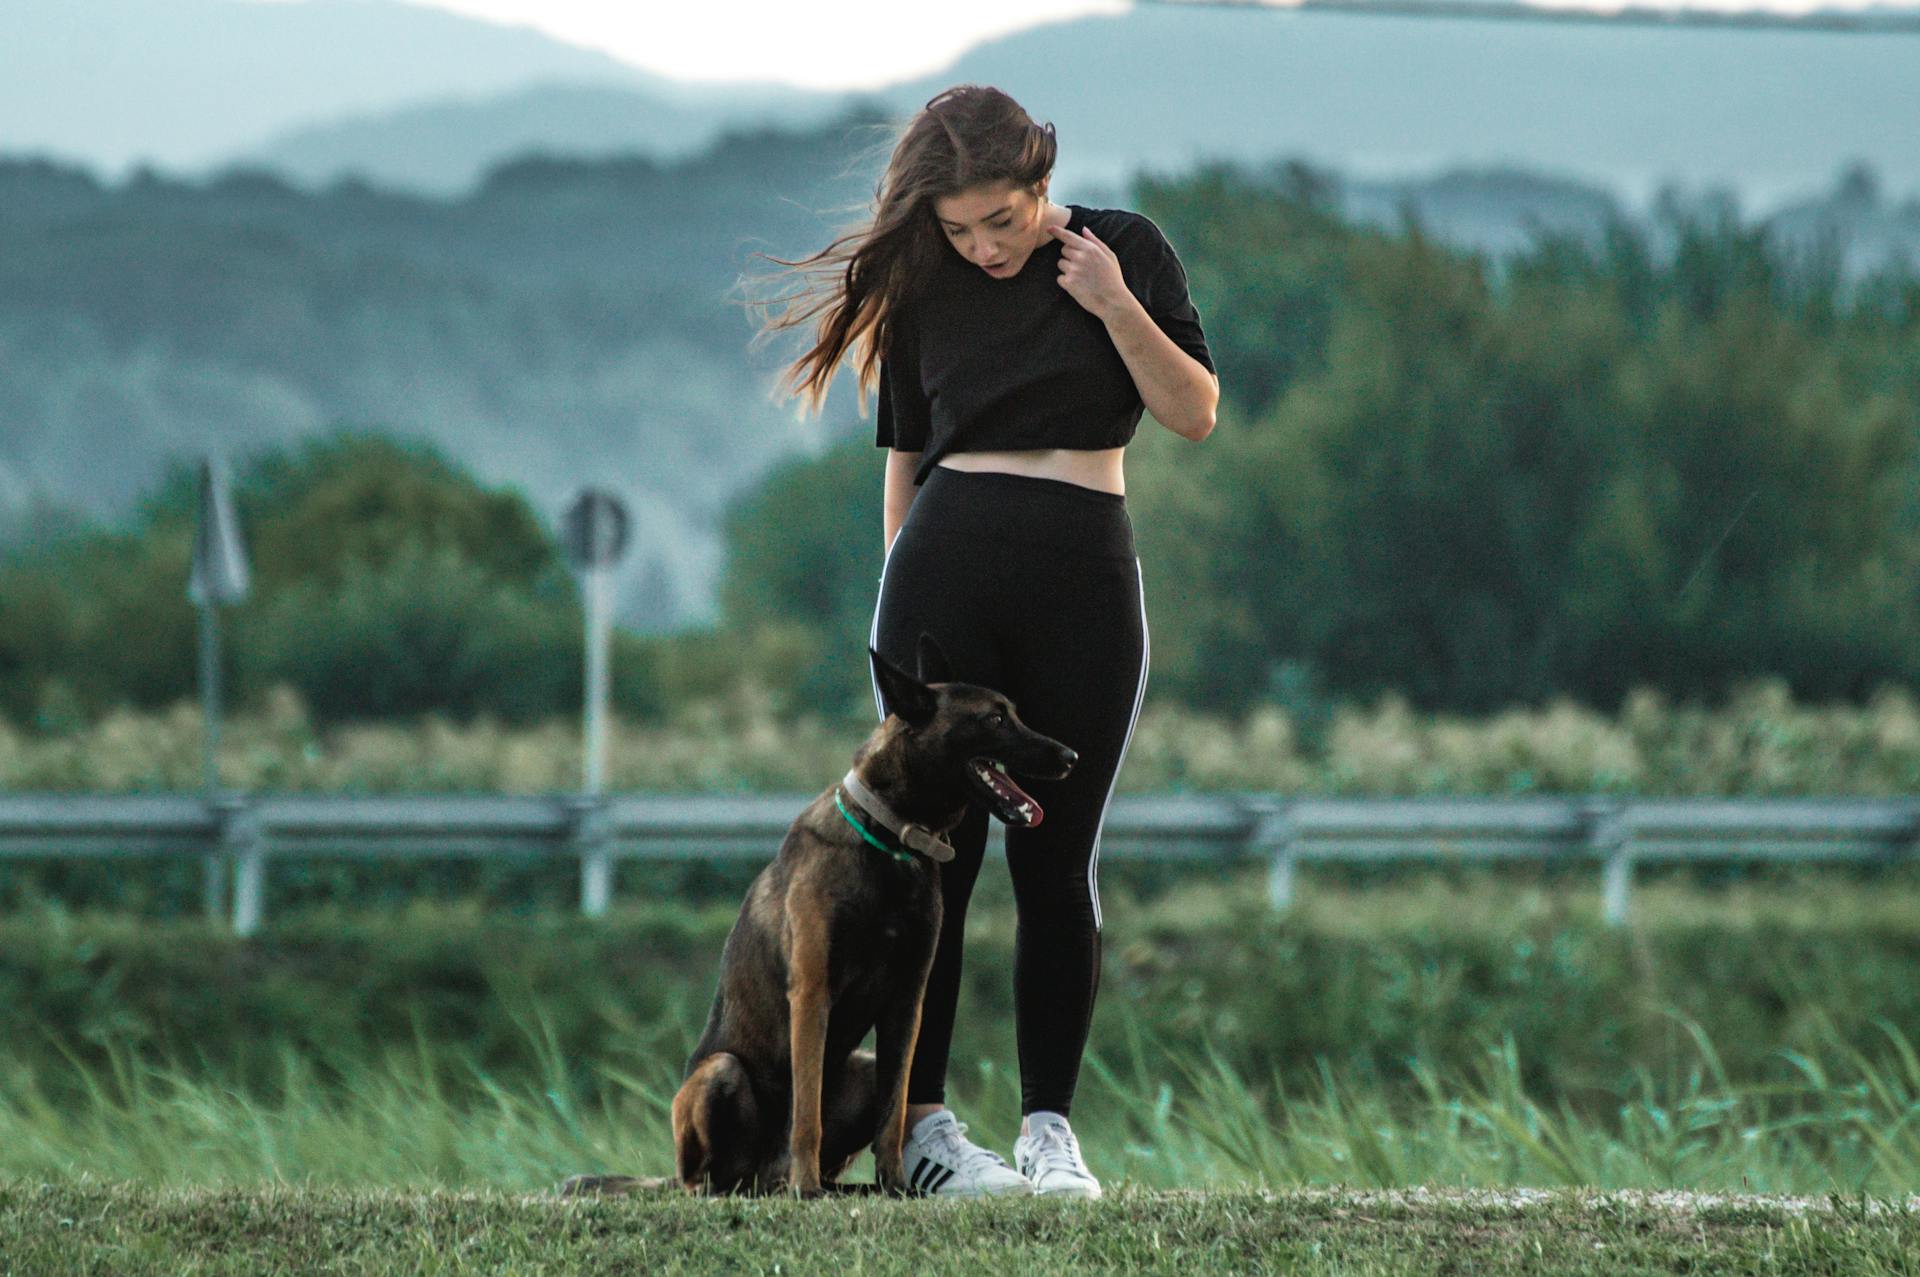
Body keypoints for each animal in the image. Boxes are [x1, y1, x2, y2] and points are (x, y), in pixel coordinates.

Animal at [560, 633, 1082, 1198]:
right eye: (995, 719)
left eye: (1015, 714)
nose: (1072, 756)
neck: (890, 840)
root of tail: (760, 1175)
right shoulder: (813, 994)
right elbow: (806, 1111)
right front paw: (808, 1186)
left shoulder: (907, 1003)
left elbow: (893, 1115)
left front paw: (895, 1184)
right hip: (721, 1074)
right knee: (707, 1175)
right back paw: (783, 1184)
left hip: (864, 1067)